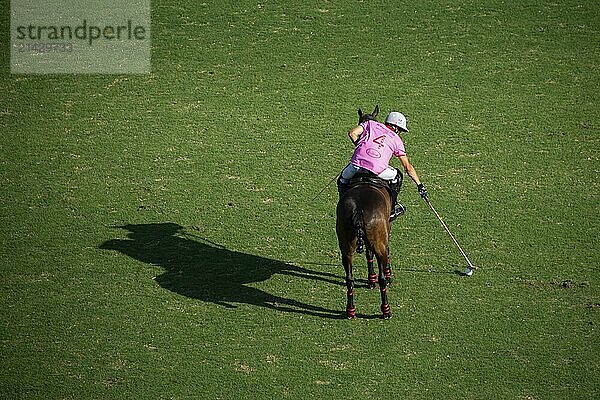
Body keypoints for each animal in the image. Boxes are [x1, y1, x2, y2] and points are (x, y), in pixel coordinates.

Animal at [338, 106, 394, 318]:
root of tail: (359, 211)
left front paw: (369, 279)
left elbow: (368, 255)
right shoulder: (385, 231)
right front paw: (385, 275)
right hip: (378, 240)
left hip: (345, 243)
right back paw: (386, 310)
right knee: (382, 278)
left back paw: (350, 310)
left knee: (349, 278)